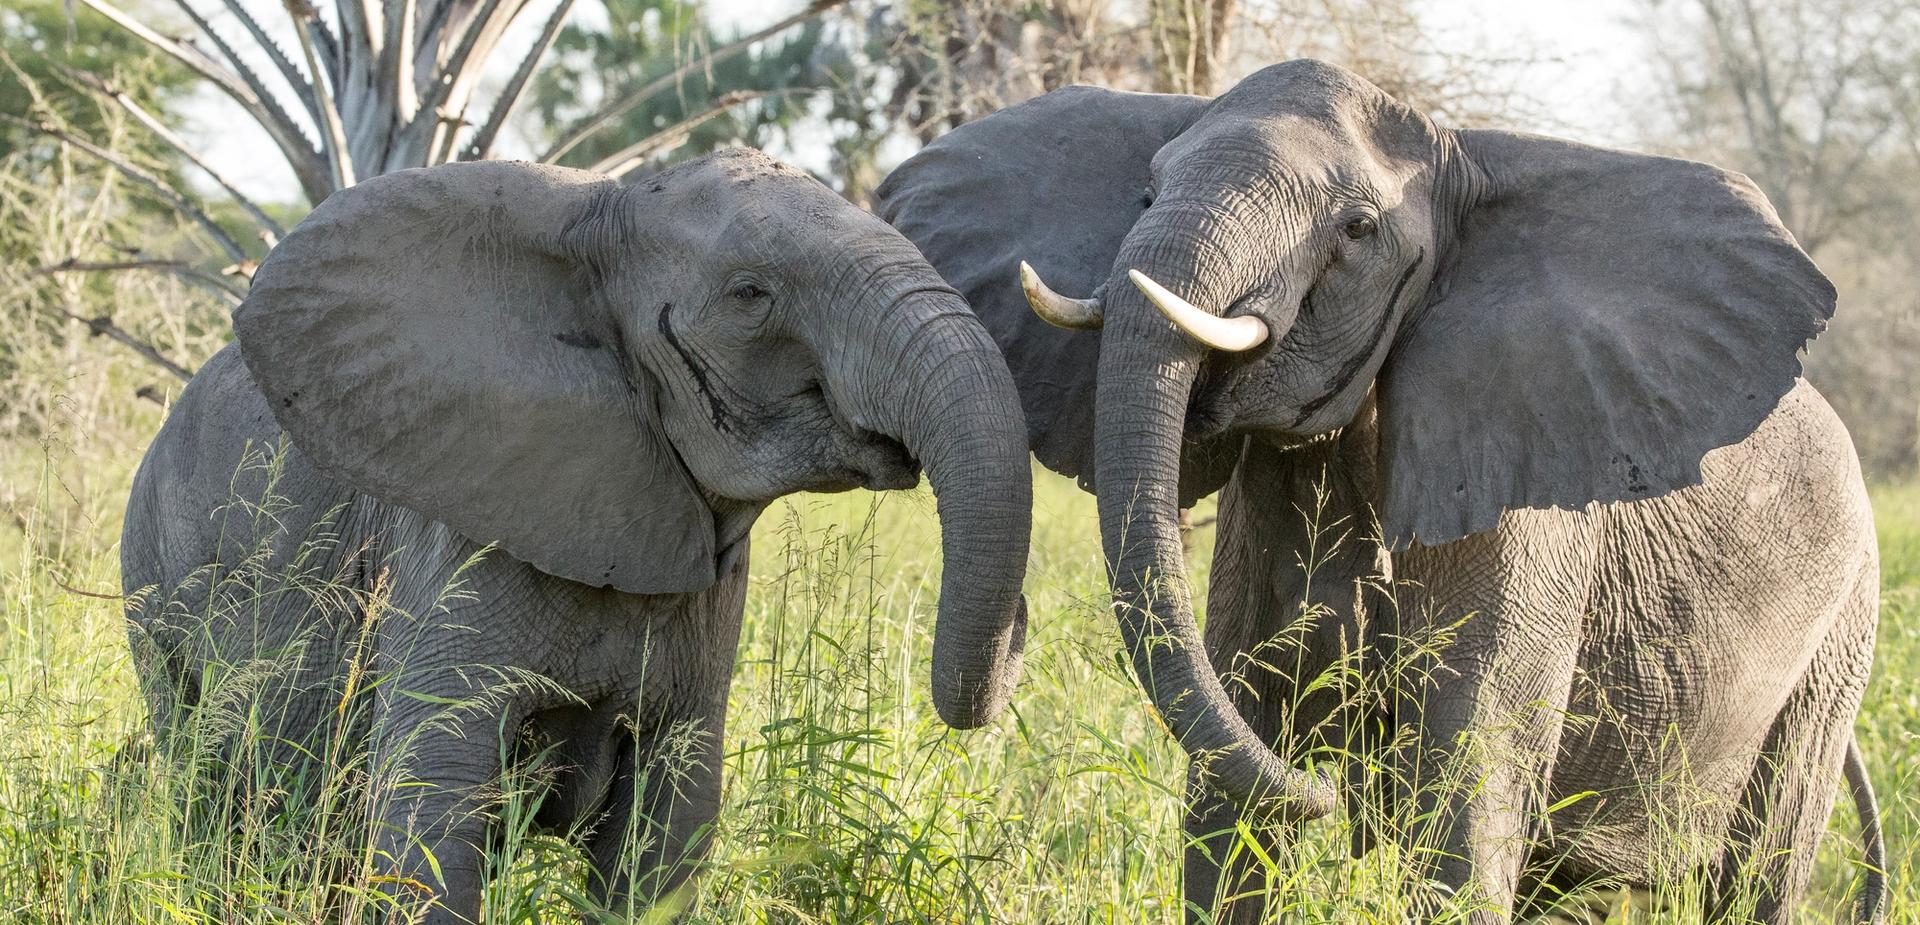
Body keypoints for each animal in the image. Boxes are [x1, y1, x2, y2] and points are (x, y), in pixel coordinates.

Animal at [120, 149, 1032, 923]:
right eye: (750, 295)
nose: (1021, 624)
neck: (606, 202)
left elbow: (667, 838)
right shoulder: (451, 539)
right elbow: (432, 806)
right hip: (152, 586)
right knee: (213, 796)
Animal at [877, 60, 1886, 923]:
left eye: (1357, 230)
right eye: (1146, 195)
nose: (1340, 792)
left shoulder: (1529, 536)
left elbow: (1463, 794)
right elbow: (1234, 767)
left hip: (1839, 638)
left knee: (1761, 867)